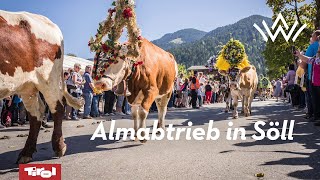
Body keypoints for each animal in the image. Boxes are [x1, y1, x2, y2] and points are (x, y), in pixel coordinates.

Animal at [0, 10, 82, 164]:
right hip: (28, 85)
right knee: (36, 113)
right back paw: (26, 153)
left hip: (47, 79)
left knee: (57, 108)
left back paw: (59, 146)